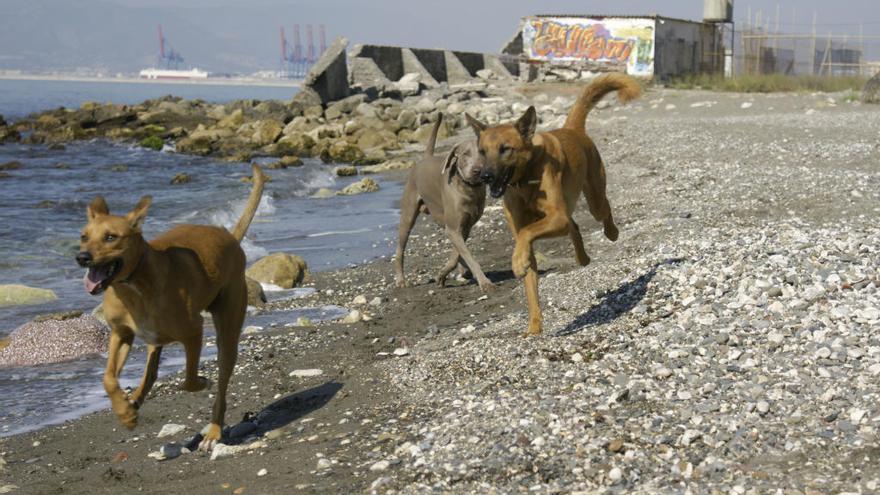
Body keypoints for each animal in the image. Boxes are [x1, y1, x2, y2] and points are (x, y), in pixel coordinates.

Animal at [75, 165, 268, 452]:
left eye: (111, 237)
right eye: (83, 236)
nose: (82, 257)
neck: (133, 285)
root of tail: (230, 238)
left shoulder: (193, 332)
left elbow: (189, 380)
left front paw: (203, 381)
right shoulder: (121, 333)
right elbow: (108, 378)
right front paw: (125, 412)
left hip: (228, 330)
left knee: (221, 382)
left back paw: (213, 431)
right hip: (154, 340)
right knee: (151, 371)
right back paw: (135, 399)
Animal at [394, 113, 492, 290]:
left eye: (483, 153)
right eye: (465, 154)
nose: (478, 171)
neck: (468, 189)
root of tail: (425, 158)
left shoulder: (464, 225)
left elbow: (457, 254)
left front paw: (443, 274)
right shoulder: (453, 228)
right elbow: (465, 254)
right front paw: (484, 282)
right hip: (408, 214)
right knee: (400, 249)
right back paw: (400, 279)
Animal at [468, 73, 640, 336]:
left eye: (505, 149)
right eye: (482, 151)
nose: (484, 176)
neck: (525, 180)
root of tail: (572, 129)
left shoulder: (554, 217)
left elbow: (527, 234)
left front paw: (517, 261)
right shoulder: (533, 229)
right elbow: (530, 282)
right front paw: (534, 327)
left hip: (594, 199)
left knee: (603, 210)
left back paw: (612, 232)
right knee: (574, 226)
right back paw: (582, 258)